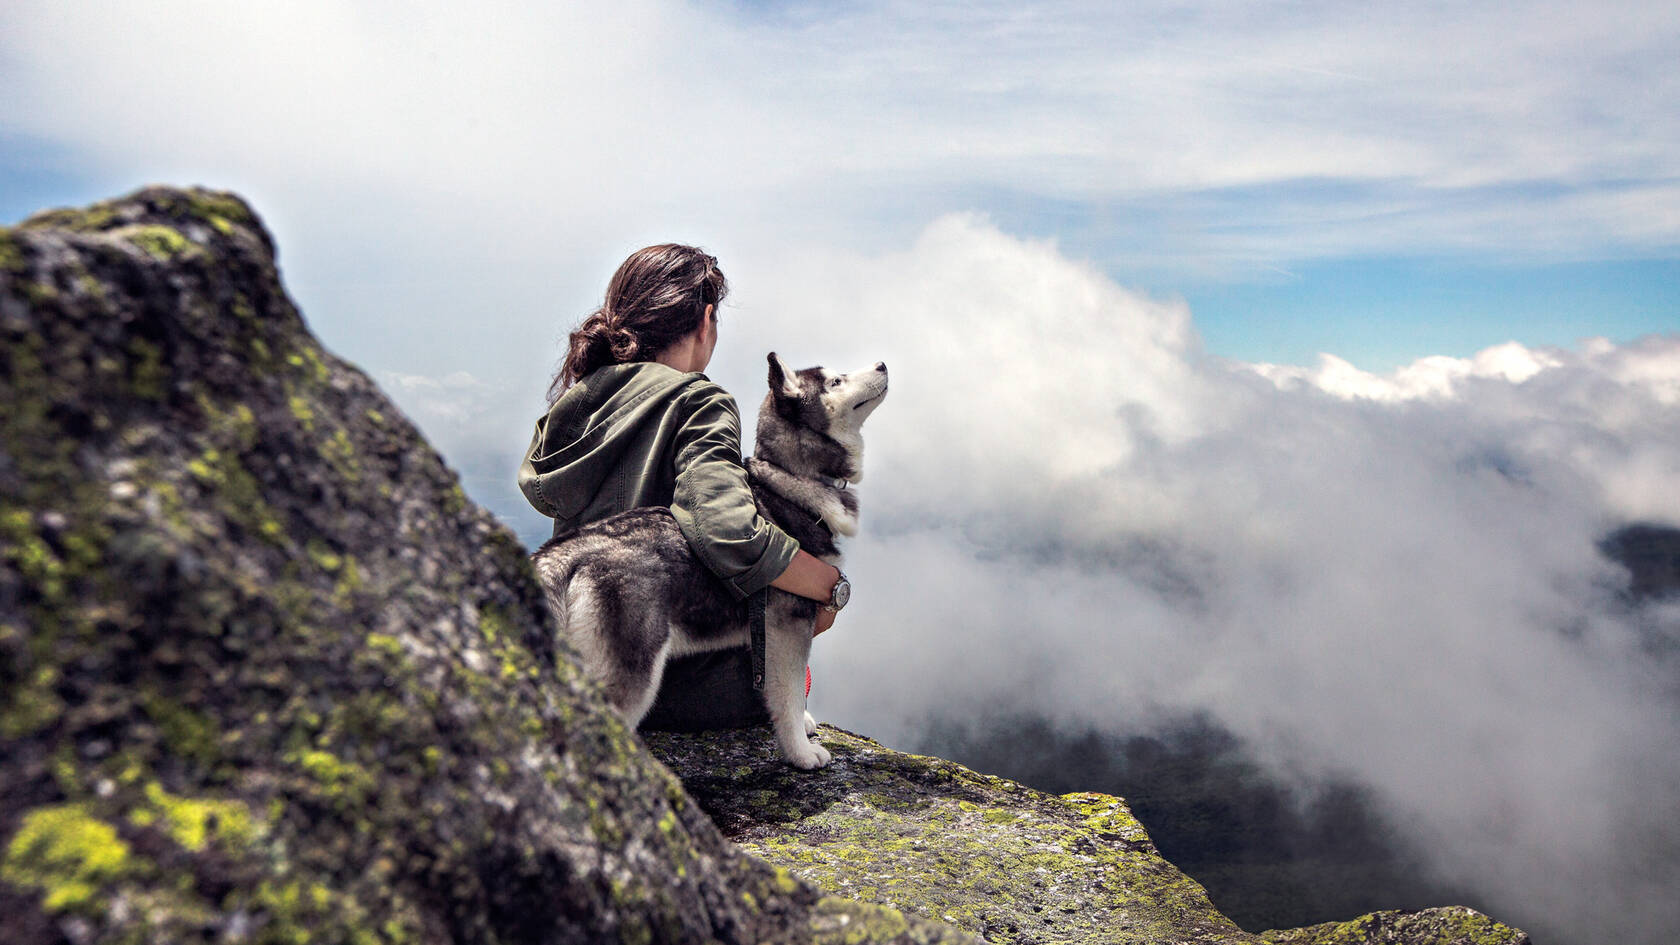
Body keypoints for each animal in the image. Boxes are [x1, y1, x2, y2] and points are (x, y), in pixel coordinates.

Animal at [530, 351, 887, 766]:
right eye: (835, 382)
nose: (882, 365)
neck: (790, 479)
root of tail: (566, 552)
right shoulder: (789, 624)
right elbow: (789, 692)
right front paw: (799, 752)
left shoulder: (766, 635)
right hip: (633, 671)